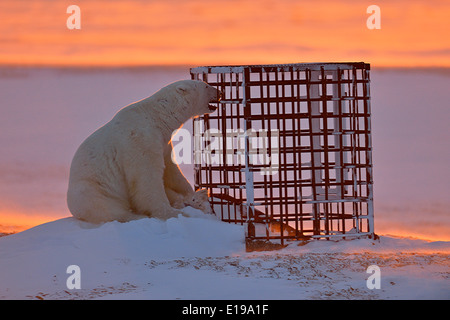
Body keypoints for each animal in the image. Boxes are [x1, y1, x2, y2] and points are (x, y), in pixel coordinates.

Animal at [67, 80, 220, 224]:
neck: (158, 116)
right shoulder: (140, 139)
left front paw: (193, 195)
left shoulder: (164, 143)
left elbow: (171, 171)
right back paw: (137, 216)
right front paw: (172, 213)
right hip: (92, 190)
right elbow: (147, 178)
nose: (219, 92)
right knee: (107, 208)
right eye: (206, 86)